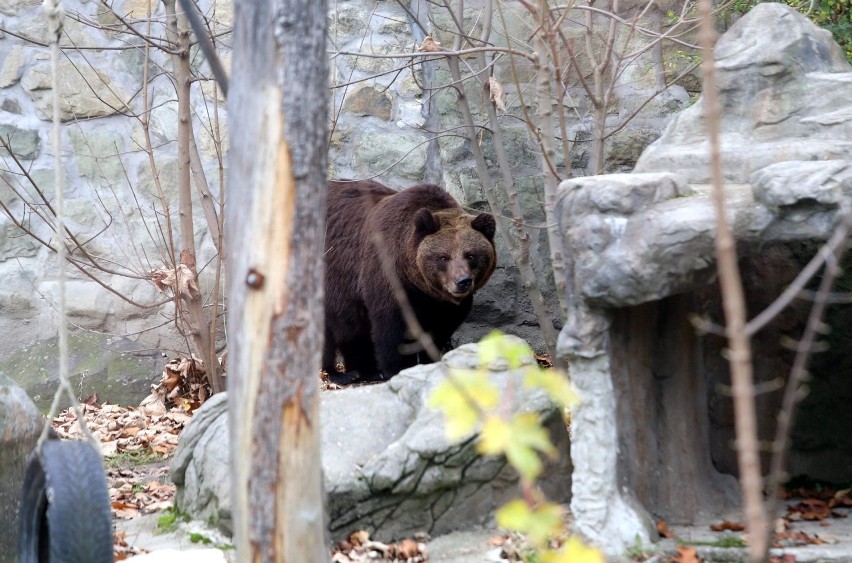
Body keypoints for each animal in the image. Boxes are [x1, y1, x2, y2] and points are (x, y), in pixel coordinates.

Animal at [326, 178, 500, 386]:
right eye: (443, 257)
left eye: (471, 255)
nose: (462, 281)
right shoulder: (387, 276)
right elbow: (391, 328)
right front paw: (396, 369)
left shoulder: (442, 304)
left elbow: (440, 328)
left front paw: (428, 362)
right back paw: (339, 373)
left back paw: (363, 370)